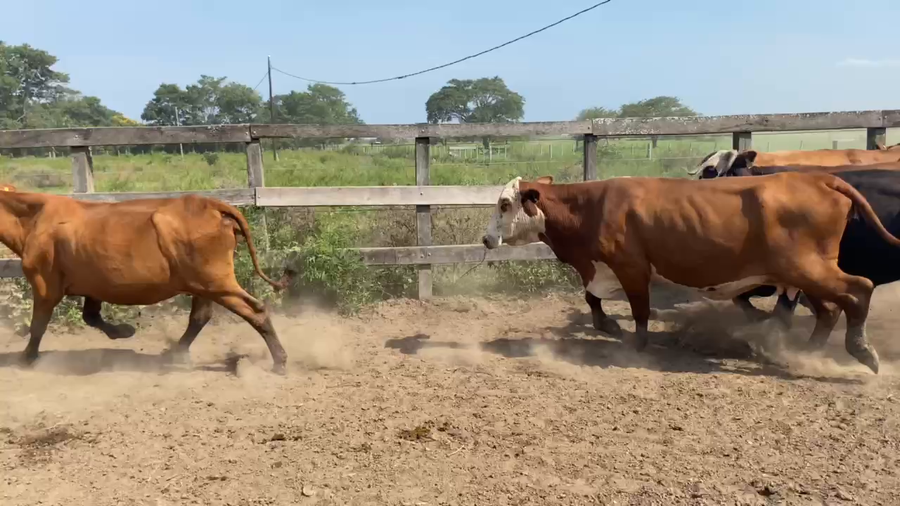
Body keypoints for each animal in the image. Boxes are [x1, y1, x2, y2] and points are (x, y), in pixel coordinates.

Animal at [0, 190, 295, 374]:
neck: (33, 218)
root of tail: (210, 205)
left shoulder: (44, 285)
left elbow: (38, 326)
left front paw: (27, 358)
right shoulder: (93, 285)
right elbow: (91, 317)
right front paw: (124, 331)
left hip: (217, 282)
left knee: (255, 310)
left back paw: (280, 362)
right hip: (202, 285)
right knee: (200, 317)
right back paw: (175, 353)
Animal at [481, 173, 900, 374]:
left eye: (504, 204)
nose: (486, 238)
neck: (592, 206)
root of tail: (817, 178)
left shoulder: (632, 267)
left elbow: (640, 311)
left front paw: (635, 345)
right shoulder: (601, 269)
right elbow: (592, 299)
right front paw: (609, 326)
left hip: (807, 268)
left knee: (858, 290)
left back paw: (861, 350)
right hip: (805, 273)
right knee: (830, 309)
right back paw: (802, 353)